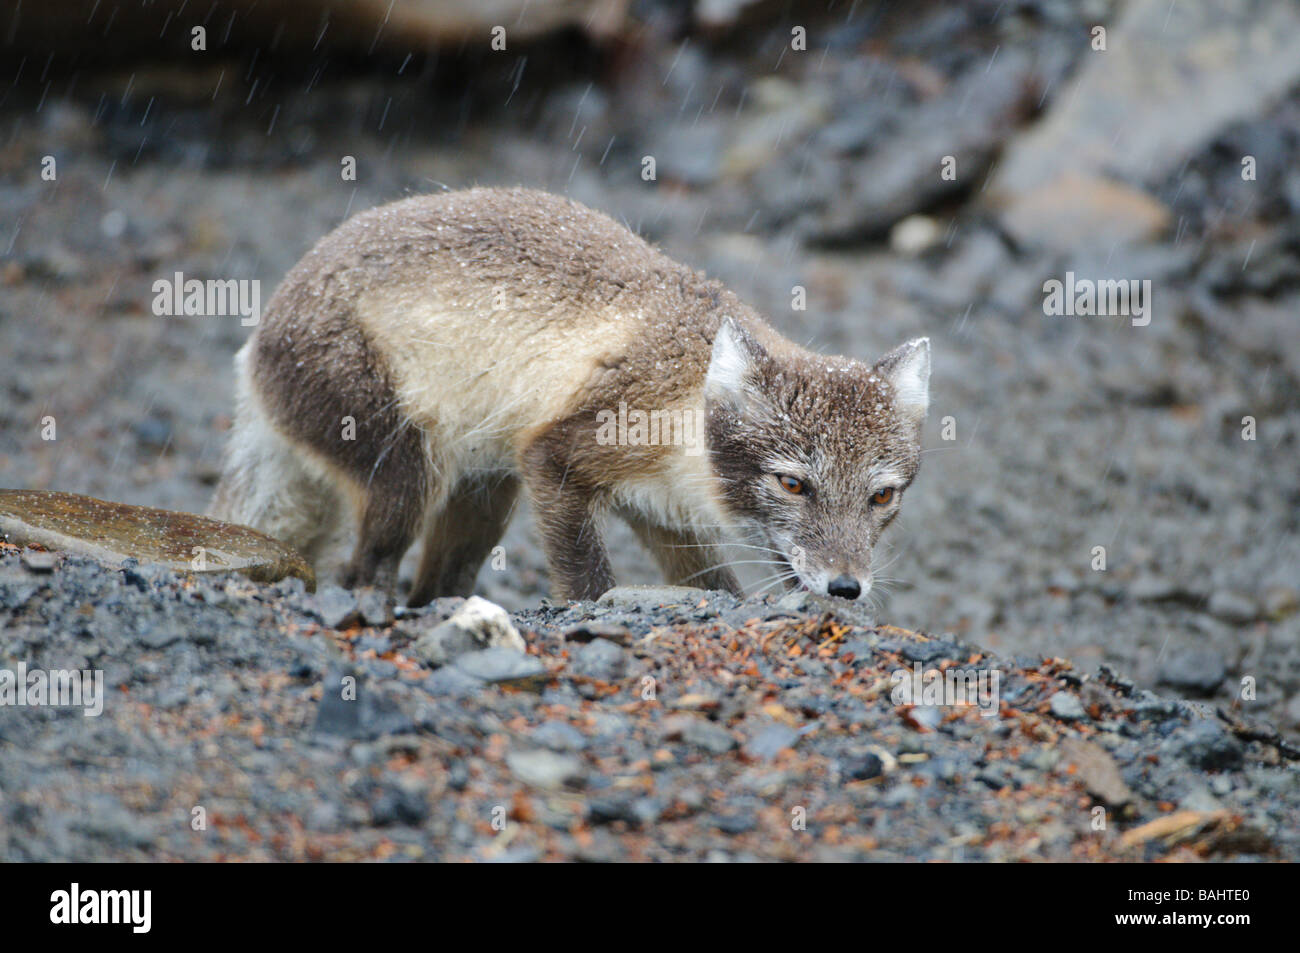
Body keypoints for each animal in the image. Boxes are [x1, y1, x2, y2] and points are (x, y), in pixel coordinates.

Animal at [208, 185, 930, 603]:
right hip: (407, 470)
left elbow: (711, 585)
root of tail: (259, 335)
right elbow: (587, 578)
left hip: (484, 492)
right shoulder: (558, 455)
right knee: (364, 570)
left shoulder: (663, 511)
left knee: (434, 584)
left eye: (882, 496)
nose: (846, 587)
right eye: (793, 484)